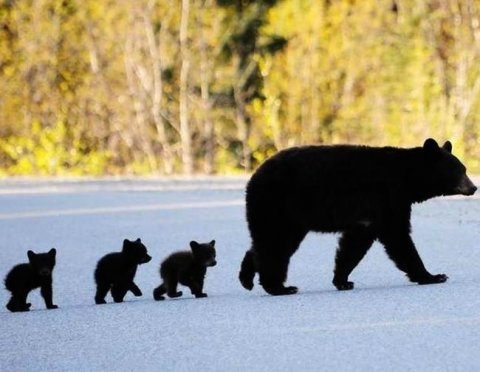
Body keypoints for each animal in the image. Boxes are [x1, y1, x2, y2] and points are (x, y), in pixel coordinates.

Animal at [240, 138, 476, 294]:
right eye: (460, 170)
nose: (474, 187)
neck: (407, 177)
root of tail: (255, 176)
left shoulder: (369, 215)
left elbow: (355, 244)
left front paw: (342, 280)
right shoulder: (387, 197)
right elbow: (398, 237)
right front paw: (433, 276)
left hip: (287, 216)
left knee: (267, 243)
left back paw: (247, 278)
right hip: (279, 205)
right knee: (274, 244)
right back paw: (279, 287)